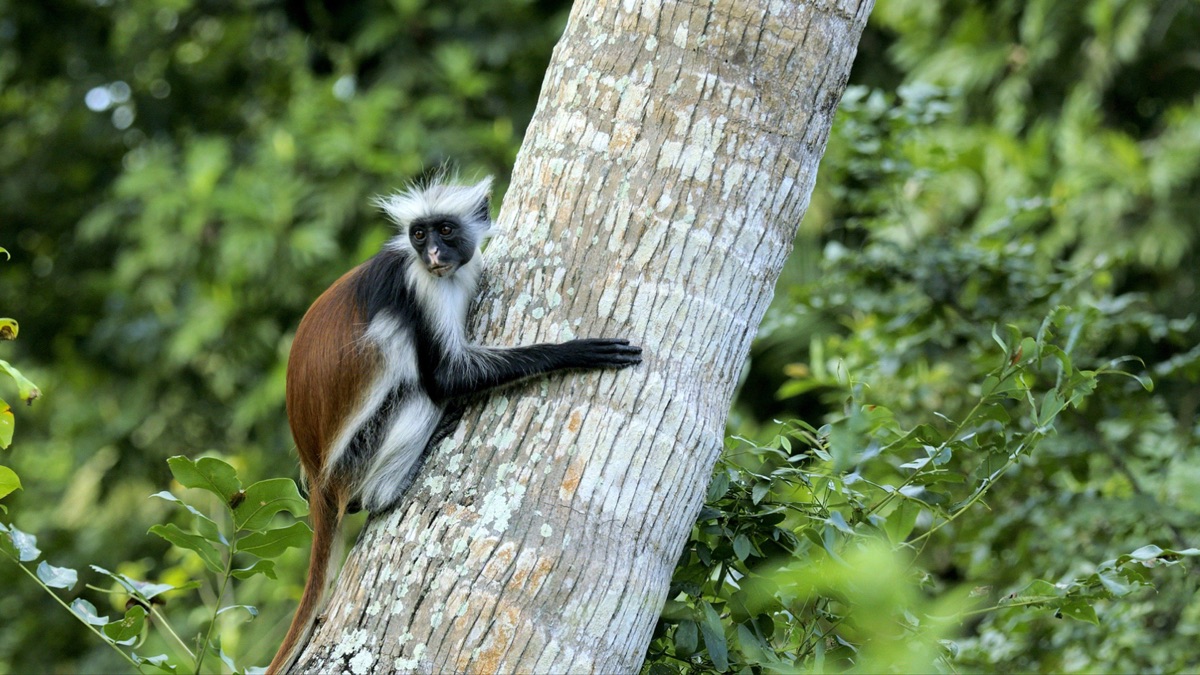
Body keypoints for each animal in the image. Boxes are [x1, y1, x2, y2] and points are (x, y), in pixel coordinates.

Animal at [268, 176, 642, 673]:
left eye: (445, 230)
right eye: (419, 234)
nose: (432, 254)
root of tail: (318, 478)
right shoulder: (422, 287)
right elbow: (444, 377)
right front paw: (574, 351)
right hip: (358, 451)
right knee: (420, 392)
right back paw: (390, 488)